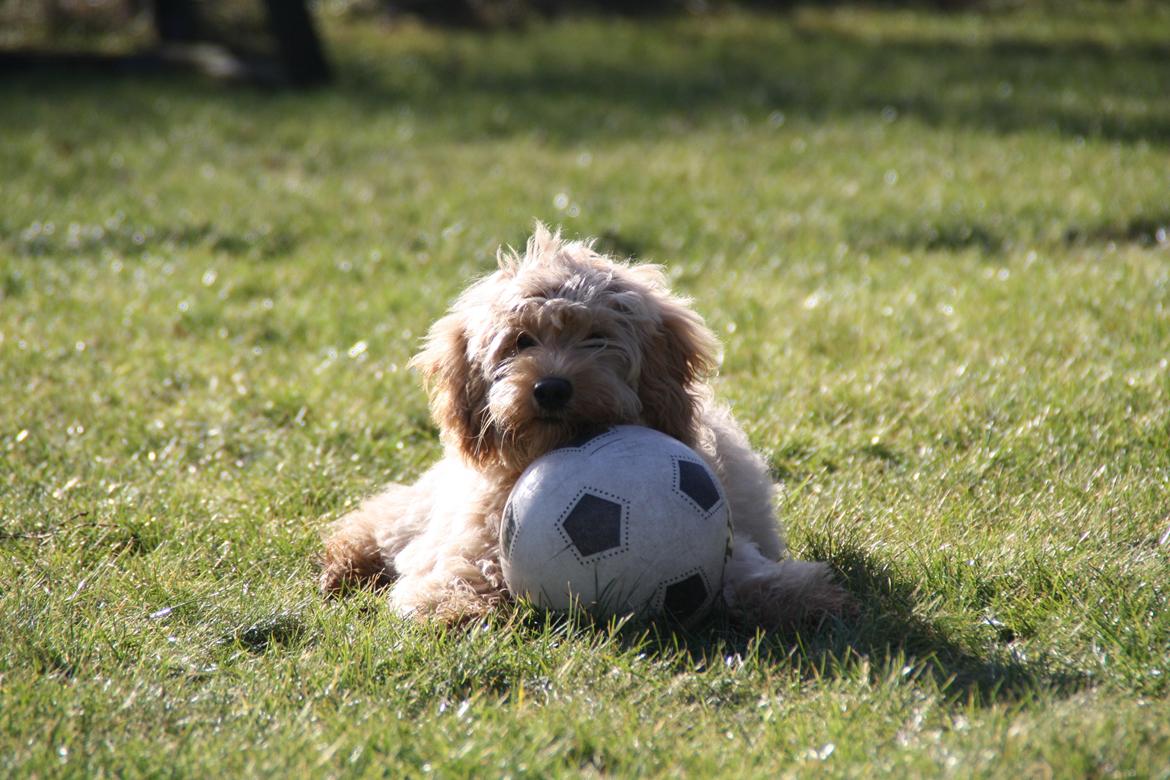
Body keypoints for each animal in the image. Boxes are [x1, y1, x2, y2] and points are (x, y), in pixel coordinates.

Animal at [320, 224, 851, 626]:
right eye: (520, 341)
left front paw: (799, 595)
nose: (552, 389)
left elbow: (742, 570)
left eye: (597, 339)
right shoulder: (471, 533)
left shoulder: (724, 540)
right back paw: (343, 561)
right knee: (383, 518)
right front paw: (452, 606)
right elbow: (464, 567)